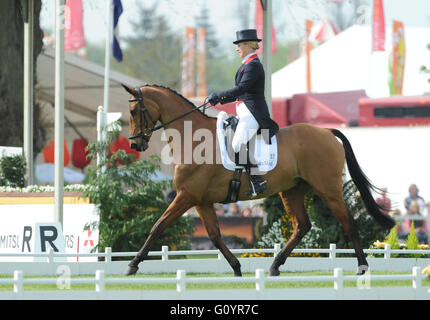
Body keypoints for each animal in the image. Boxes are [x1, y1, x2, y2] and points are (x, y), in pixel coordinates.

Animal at [120, 84, 394, 276]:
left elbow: (157, 227)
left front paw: (133, 265)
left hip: (329, 189)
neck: (193, 138)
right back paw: (275, 266)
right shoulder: (200, 200)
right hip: (292, 191)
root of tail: (326, 131)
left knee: (349, 223)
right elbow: (214, 235)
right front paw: (236, 267)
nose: (135, 144)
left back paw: (362, 267)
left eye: (133, 111)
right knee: (302, 226)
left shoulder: (186, 196)